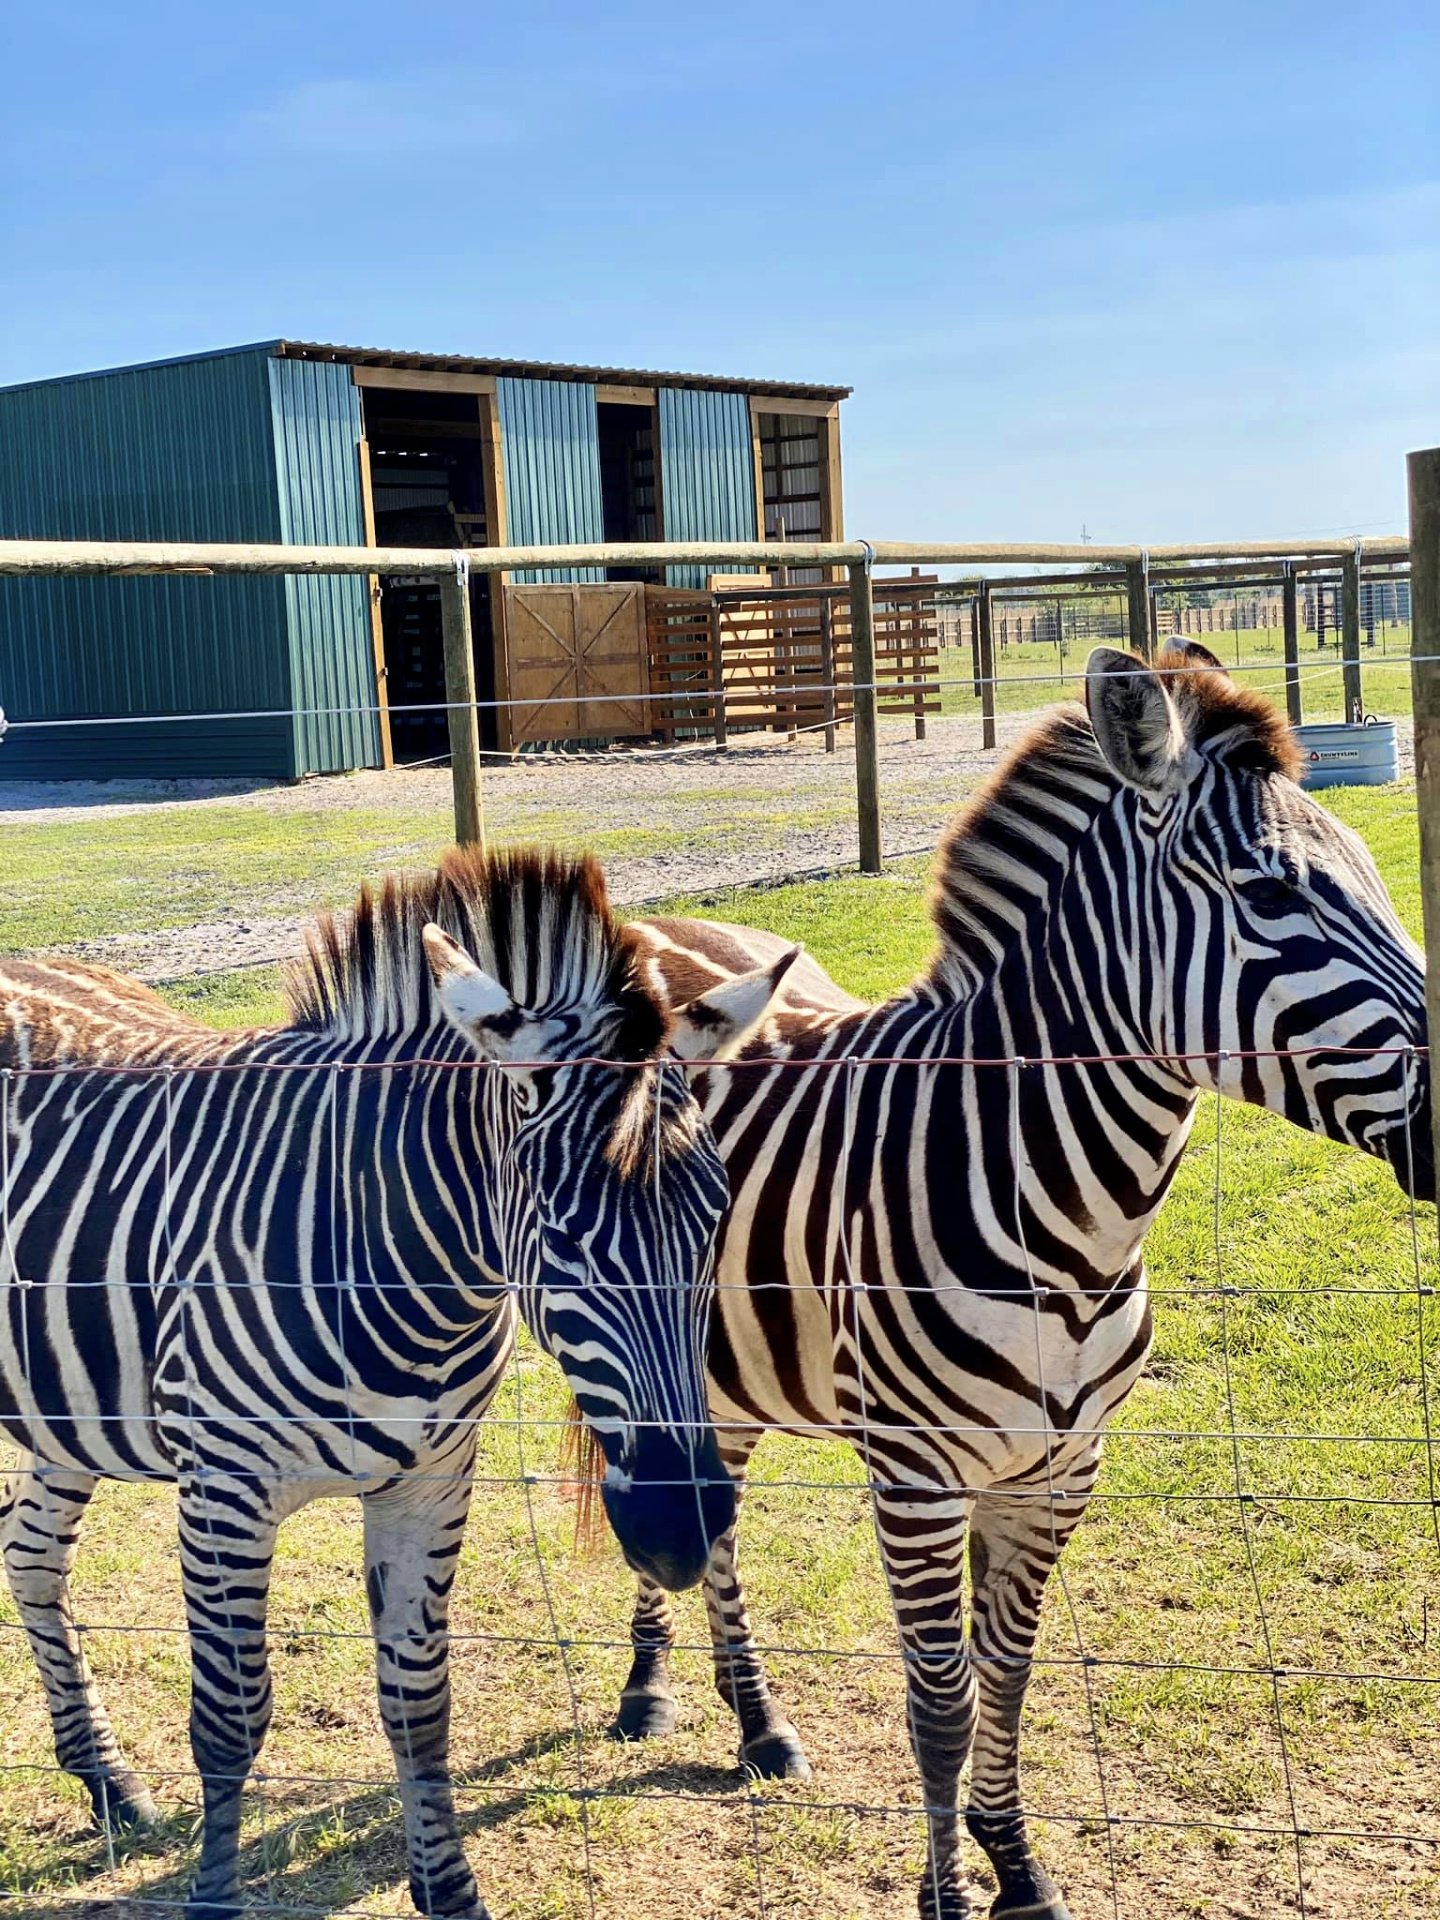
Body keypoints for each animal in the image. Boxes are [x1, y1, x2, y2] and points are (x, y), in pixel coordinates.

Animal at [0, 848, 794, 1920]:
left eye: (716, 1215)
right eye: (561, 1238)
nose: (682, 1529)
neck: (396, 1264)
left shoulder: (432, 1481)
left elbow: (420, 1706)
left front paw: (449, 1892)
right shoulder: (223, 1494)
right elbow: (229, 1721)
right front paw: (213, 1897)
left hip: (67, 1411)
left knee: (30, 1554)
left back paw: (107, 1781)